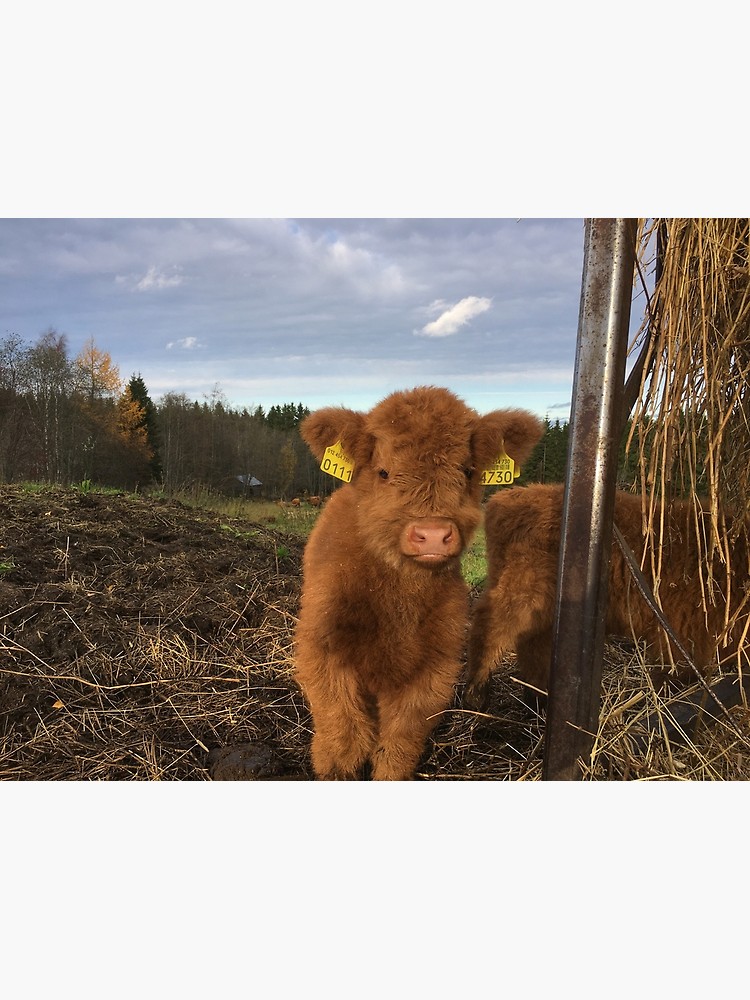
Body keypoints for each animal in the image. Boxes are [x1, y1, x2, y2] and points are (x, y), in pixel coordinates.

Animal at [293, 386, 544, 779]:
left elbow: (401, 740)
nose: (433, 534)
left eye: (467, 470)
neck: (397, 603)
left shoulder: (436, 665)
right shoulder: (321, 647)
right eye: (383, 472)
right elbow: (342, 731)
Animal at [464, 482, 750, 711]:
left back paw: (538, 700)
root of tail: (507, 497)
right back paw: (476, 693)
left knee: (533, 647)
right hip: (520, 592)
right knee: (489, 627)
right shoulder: (682, 638)